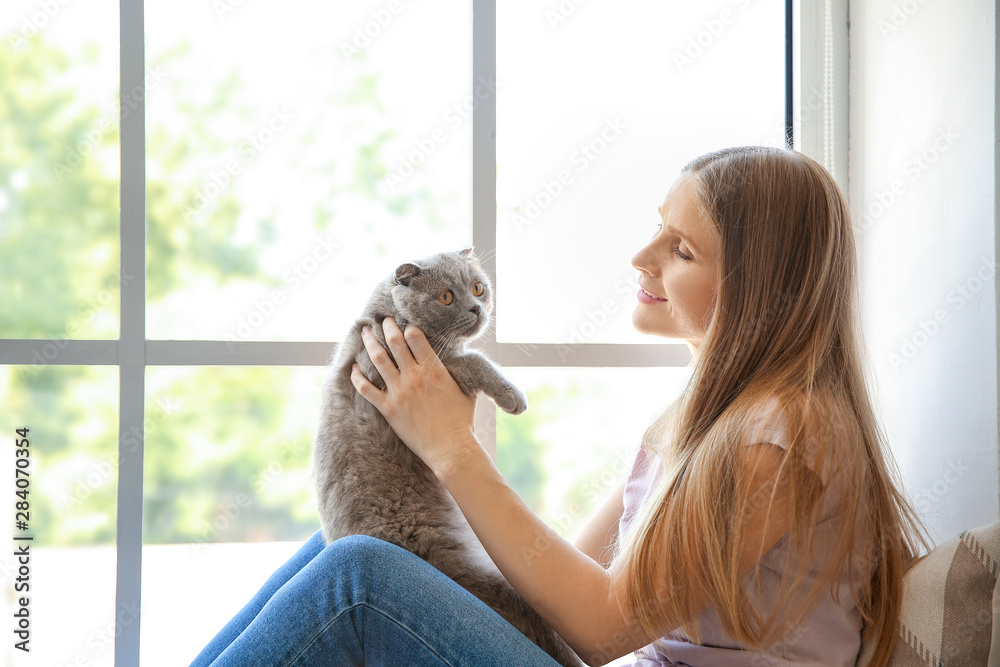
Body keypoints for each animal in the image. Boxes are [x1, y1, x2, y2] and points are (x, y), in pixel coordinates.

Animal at [310, 248, 580, 664]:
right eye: (447, 297)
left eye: (478, 288)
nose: (476, 307)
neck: (391, 319)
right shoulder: (410, 369)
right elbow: (474, 359)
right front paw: (513, 396)